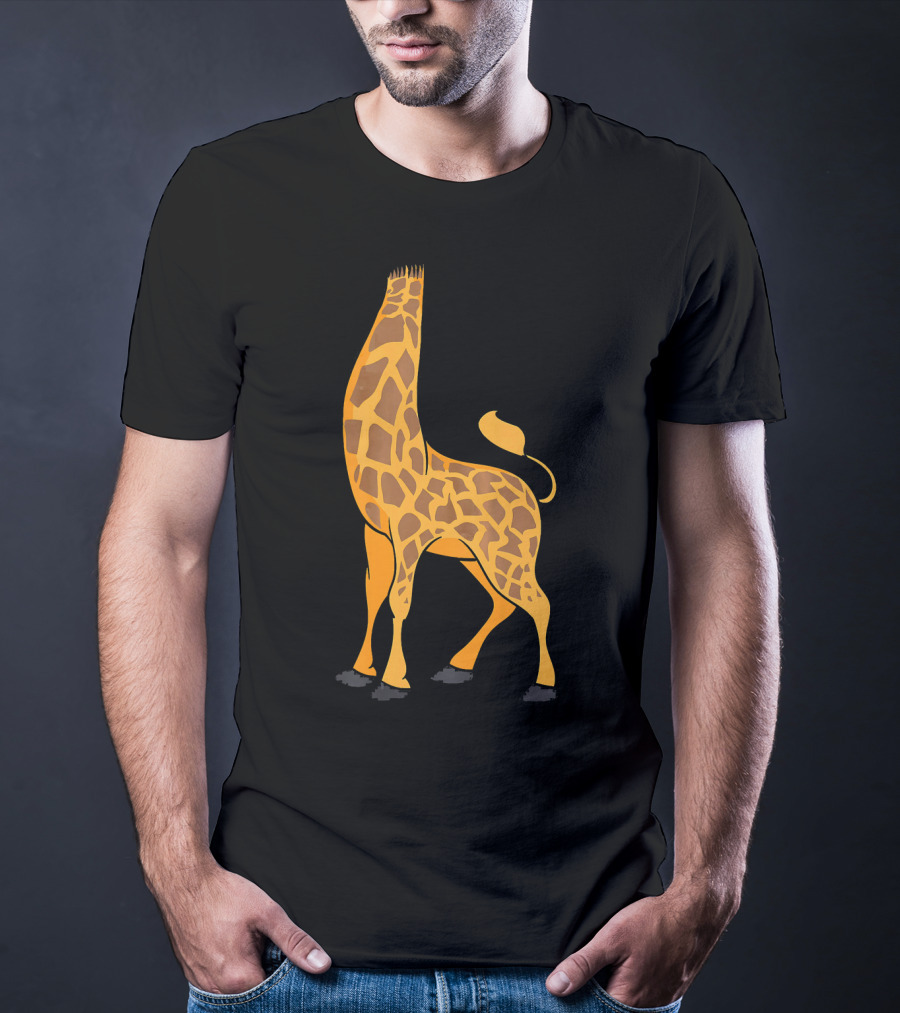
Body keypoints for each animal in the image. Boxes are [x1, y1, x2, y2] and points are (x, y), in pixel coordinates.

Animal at [338, 264, 557, 702]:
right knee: (505, 604)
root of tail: (533, 497)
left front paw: (393, 680)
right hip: (474, 557)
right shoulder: (376, 529)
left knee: (538, 602)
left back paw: (543, 684)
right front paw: (359, 670)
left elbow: (399, 600)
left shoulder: (409, 532)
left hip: (511, 558)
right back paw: (458, 667)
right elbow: (373, 591)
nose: (401, 280)